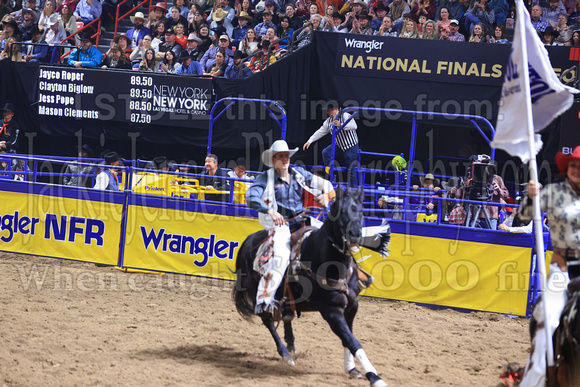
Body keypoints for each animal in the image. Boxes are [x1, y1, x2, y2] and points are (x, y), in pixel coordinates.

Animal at [233, 186, 388, 386]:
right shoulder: (331, 311)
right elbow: (353, 341)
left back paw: (291, 343)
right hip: (257, 294)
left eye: (361, 211)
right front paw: (374, 377)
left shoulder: (352, 307)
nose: (355, 234)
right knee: (268, 321)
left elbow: (348, 339)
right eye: (340, 212)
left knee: (286, 315)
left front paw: (351, 369)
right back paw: (285, 354)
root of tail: (248, 240)